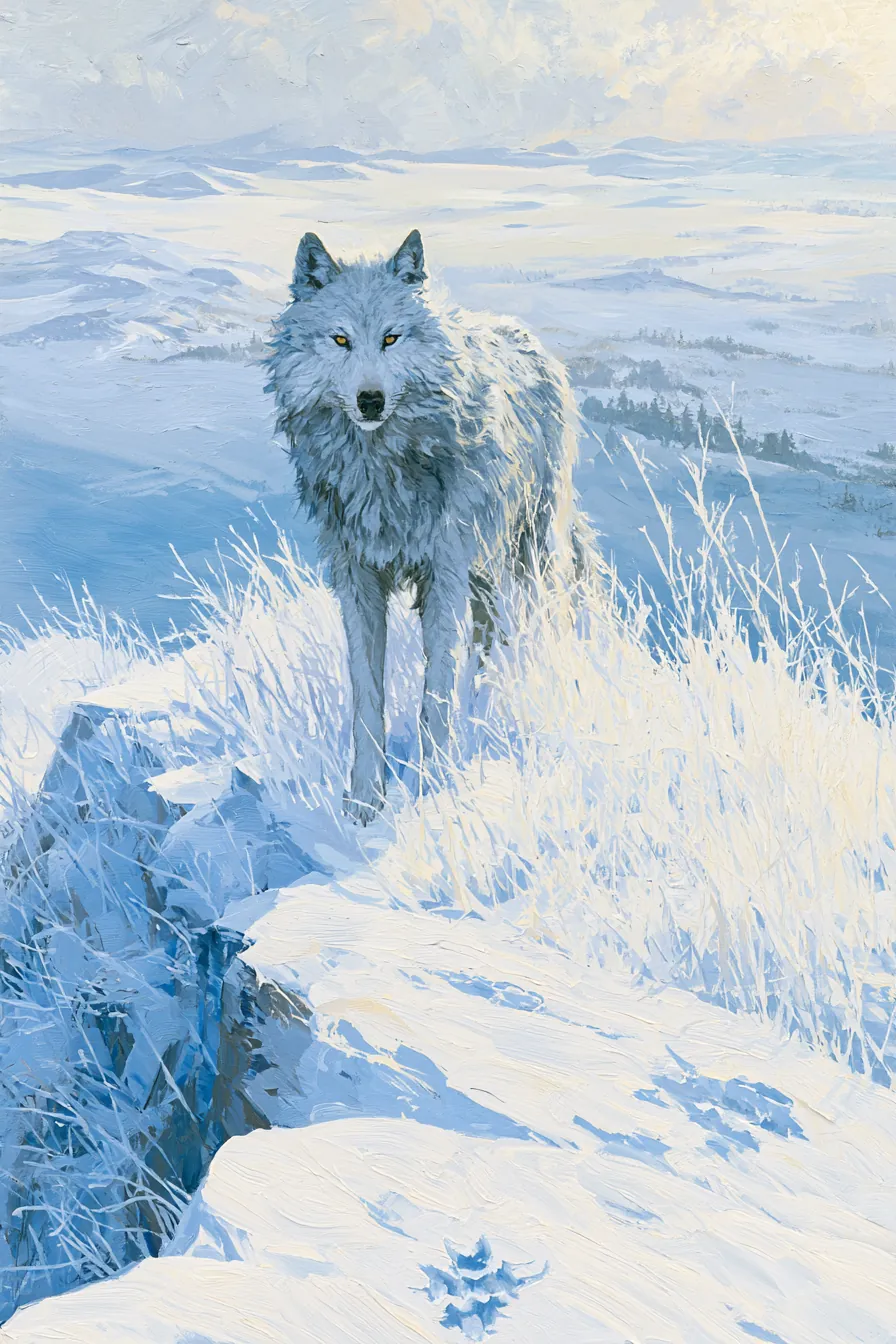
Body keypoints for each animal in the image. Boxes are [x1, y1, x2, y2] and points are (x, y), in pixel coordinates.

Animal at [266, 229, 587, 822]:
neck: (382, 470)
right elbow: (367, 696)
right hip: (482, 576)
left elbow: (434, 692)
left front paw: (435, 789)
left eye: (391, 338)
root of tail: (527, 336)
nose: (371, 400)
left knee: (545, 621)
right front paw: (364, 800)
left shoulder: (443, 578)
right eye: (340, 340)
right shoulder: (358, 582)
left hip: (530, 552)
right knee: (488, 639)